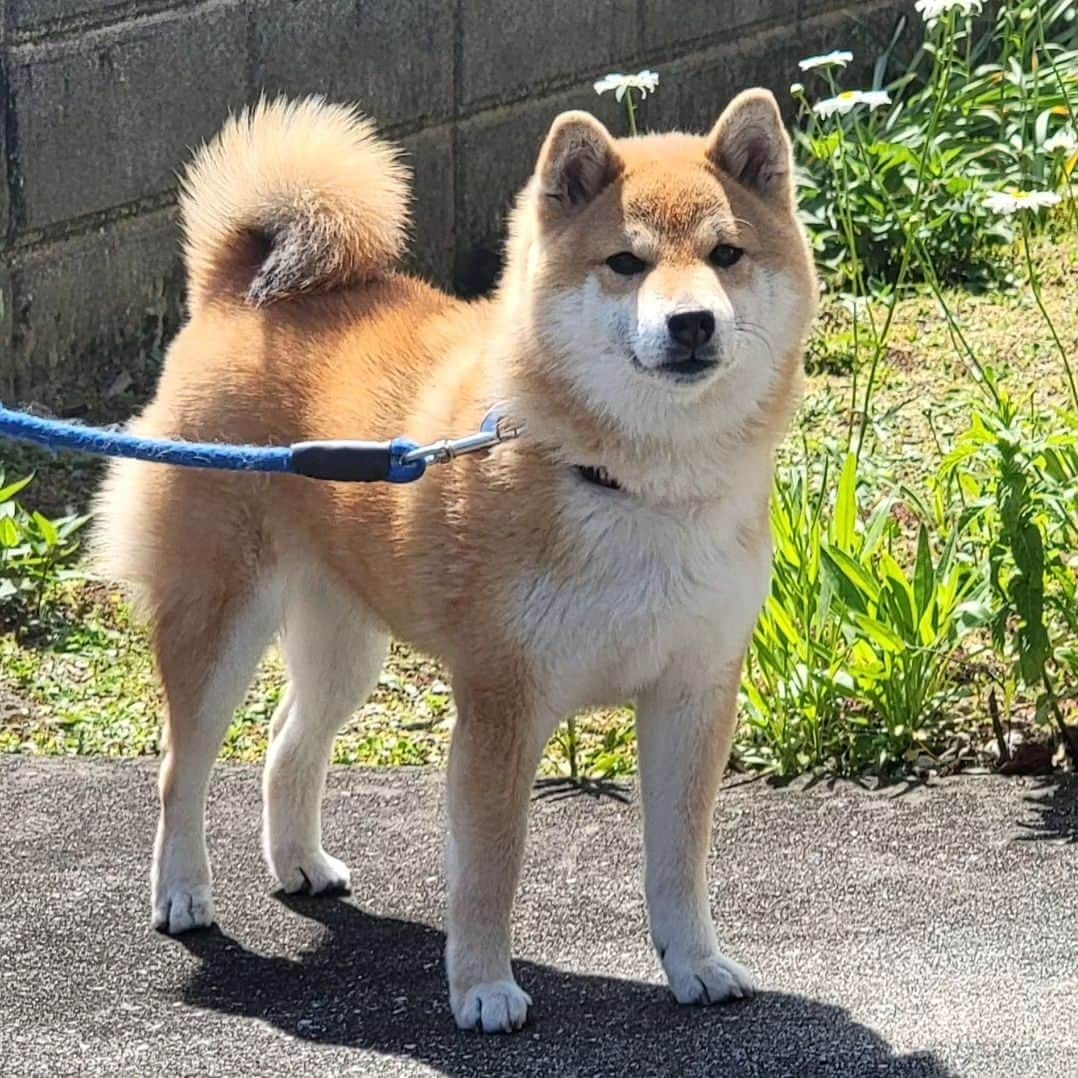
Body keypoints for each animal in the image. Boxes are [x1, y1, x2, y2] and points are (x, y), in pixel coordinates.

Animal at [94, 92, 814, 1034]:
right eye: (625, 263)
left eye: (727, 254)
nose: (690, 322)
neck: (631, 483)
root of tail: (235, 295)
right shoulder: (503, 699)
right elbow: (490, 866)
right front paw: (482, 988)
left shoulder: (694, 690)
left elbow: (679, 858)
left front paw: (694, 963)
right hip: (218, 621)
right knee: (183, 767)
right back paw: (181, 892)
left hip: (345, 642)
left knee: (289, 743)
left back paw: (299, 862)